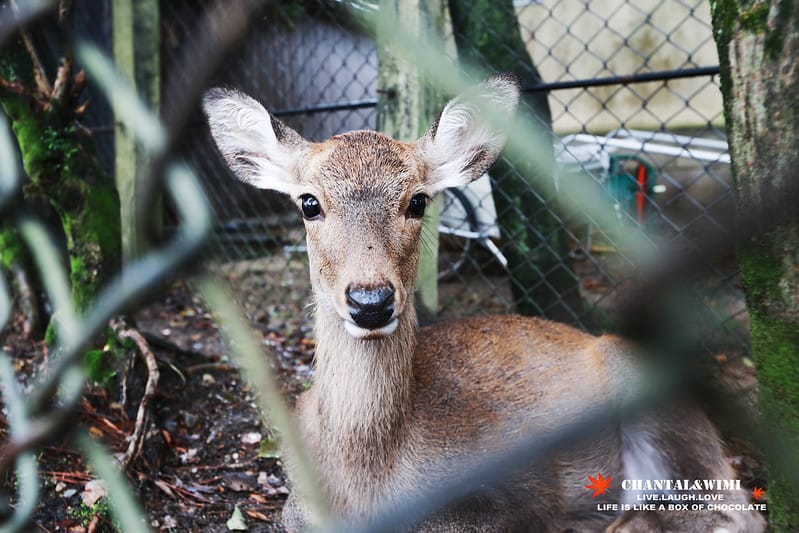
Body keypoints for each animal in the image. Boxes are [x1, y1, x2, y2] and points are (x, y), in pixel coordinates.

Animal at [203, 75, 766, 532]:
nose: (371, 301)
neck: (366, 480)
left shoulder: (519, 492)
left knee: (732, 509)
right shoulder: (297, 505)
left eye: (418, 201)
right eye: (308, 203)